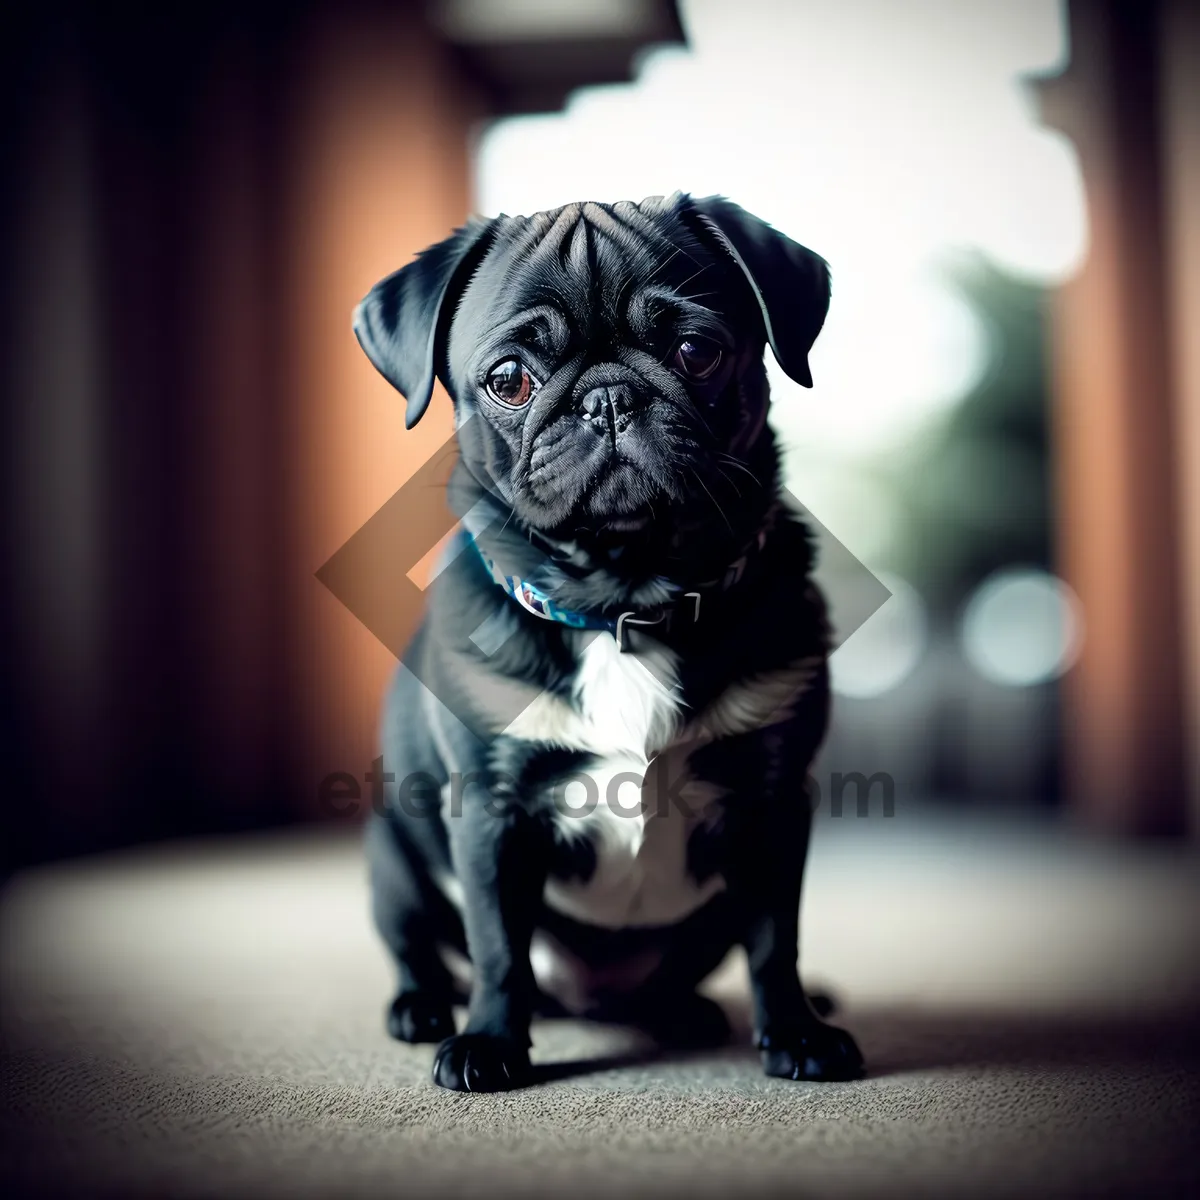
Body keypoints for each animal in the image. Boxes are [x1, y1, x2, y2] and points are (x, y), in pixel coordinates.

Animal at [350, 192, 859, 1094]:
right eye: (508, 380)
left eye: (698, 352)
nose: (610, 399)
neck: (625, 602)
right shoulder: (491, 815)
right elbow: (498, 946)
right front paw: (489, 1043)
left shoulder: (770, 806)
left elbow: (776, 940)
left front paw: (797, 1032)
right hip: (395, 857)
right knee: (421, 946)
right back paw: (421, 1010)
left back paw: (694, 1013)